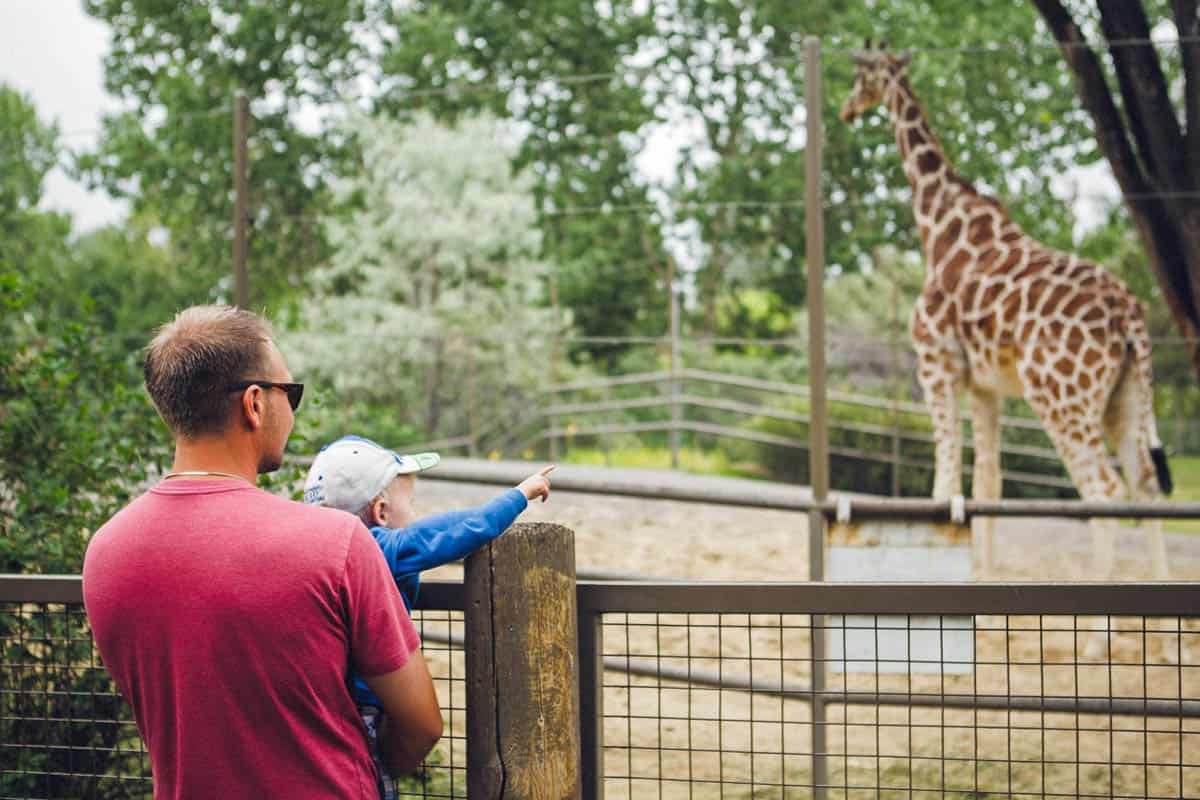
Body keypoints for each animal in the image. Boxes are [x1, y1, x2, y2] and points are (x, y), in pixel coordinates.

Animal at [835, 43, 1171, 582]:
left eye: (862, 76)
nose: (847, 110)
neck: (939, 227)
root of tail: (1130, 316)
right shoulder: (984, 383)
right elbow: (987, 484)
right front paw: (983, 575)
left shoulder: (936, 365)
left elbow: (945, 484)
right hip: (1127, 394)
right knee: (1145, 483)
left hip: (1062, 397)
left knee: (1103, 490)